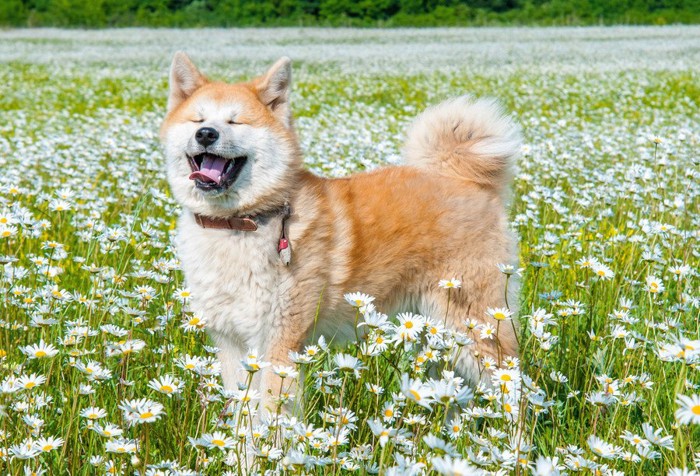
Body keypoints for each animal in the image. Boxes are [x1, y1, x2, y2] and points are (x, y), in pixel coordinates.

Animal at [159, 51, 520, 410]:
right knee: (453, 394)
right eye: (197, 120)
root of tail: (464, 180)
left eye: (236, 122)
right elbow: (242, 414)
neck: (240, 223)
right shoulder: (232, 344)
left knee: (517, 389)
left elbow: (269, 418)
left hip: (475, 328)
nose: (207, 134)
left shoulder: (278, 342)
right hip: (438, 336)